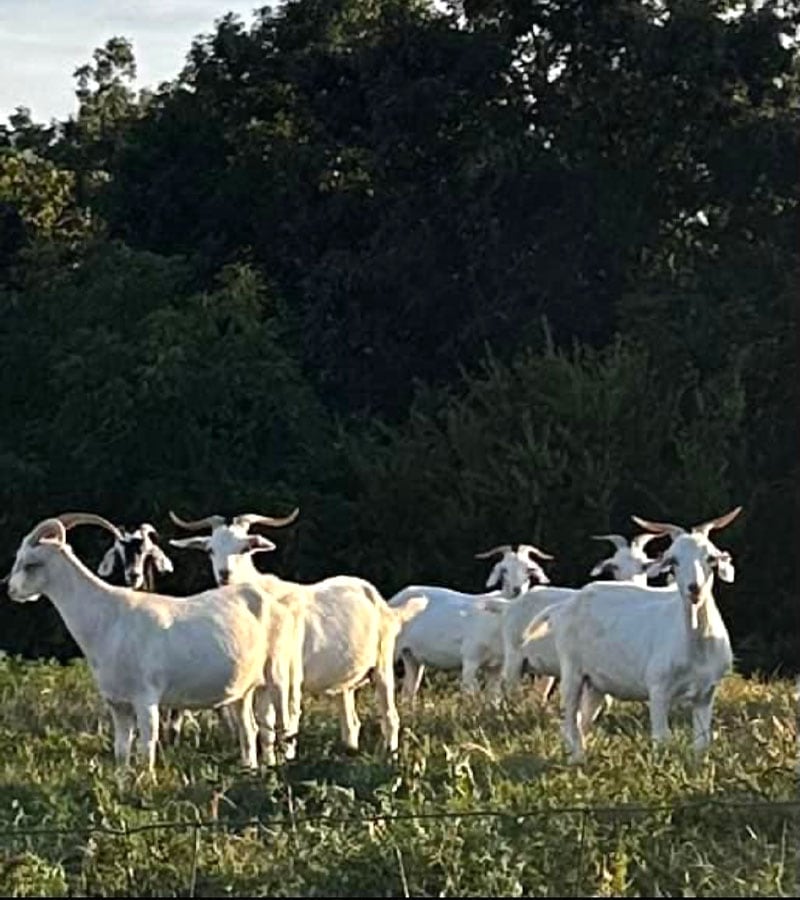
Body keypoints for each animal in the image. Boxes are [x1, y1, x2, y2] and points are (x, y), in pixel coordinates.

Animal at [4, 512, 304, 772]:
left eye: (31, 563)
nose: (9, 589)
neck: (110, 617)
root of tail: (273, 602)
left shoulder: (146, 698)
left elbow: (146, 747)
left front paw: (146, 785)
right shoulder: (118, 703)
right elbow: (122, 750)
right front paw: (122, 784)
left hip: (278, 673)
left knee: (283, 723)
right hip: (243, 689)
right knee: (249, 729)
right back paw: (251, 770)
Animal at [169, 510, 428, 756]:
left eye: (245, 547)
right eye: (210, 549)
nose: (225, 574)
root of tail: (383, 604)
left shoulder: (291, 676)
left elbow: (288, 722)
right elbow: (266, 729)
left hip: (382, 665)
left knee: (390, 717)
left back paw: (390, 756)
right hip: (344, 682)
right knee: (351, 723)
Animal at [524, 506, 744, 760]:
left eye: (710, 558)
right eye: (673, 560)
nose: (694, 589)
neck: (697, 647)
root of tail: (564, 605)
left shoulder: (706, 694)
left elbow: (702, 743)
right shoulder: (658, 689)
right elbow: (662, 739)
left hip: (596, 684)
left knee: (582, 720)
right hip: (572, 671)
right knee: (569, 719)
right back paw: (576, 758)